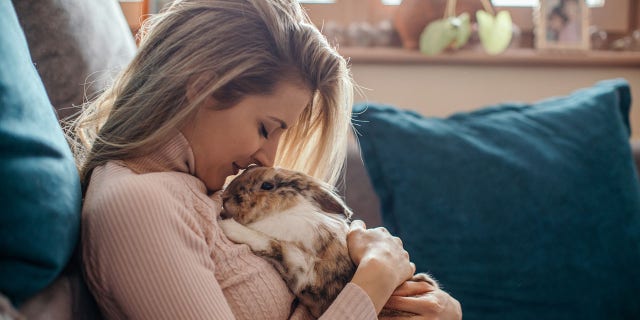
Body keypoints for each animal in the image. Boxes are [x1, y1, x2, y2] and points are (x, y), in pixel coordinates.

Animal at [218, 165, 438, 318]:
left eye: (267, 185)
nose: (225, 197)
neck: (285, 212)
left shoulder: (302, 267)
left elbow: (270, 243)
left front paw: (227, 226)